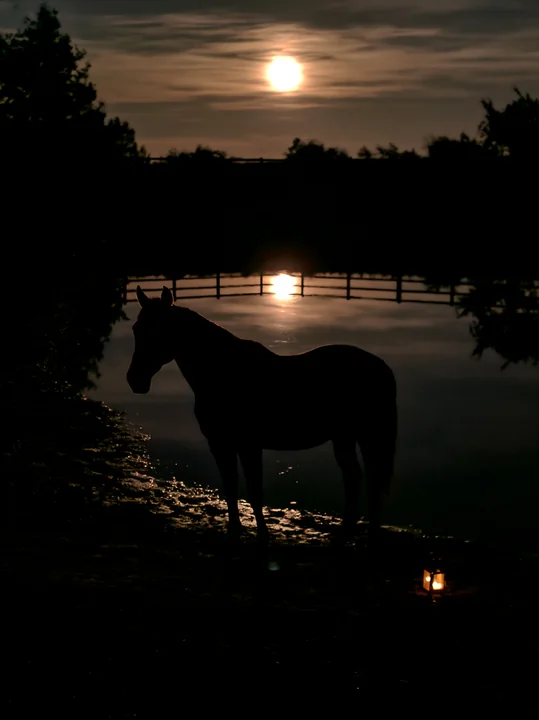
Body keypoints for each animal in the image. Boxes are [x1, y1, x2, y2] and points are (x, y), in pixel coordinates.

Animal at [127, 285, 398, 543]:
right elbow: (231, 486)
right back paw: (347, 530)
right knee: (355, 478)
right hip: (344, 437)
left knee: (371, 480)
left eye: (159, 330)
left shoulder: (249, 445)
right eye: (136, 329)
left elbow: (254, 490)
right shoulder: (219, 443)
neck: (222, 372)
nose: (135, 381)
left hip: (369, 436)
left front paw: (263, 534)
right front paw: (234, 529)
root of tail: (380, 365)